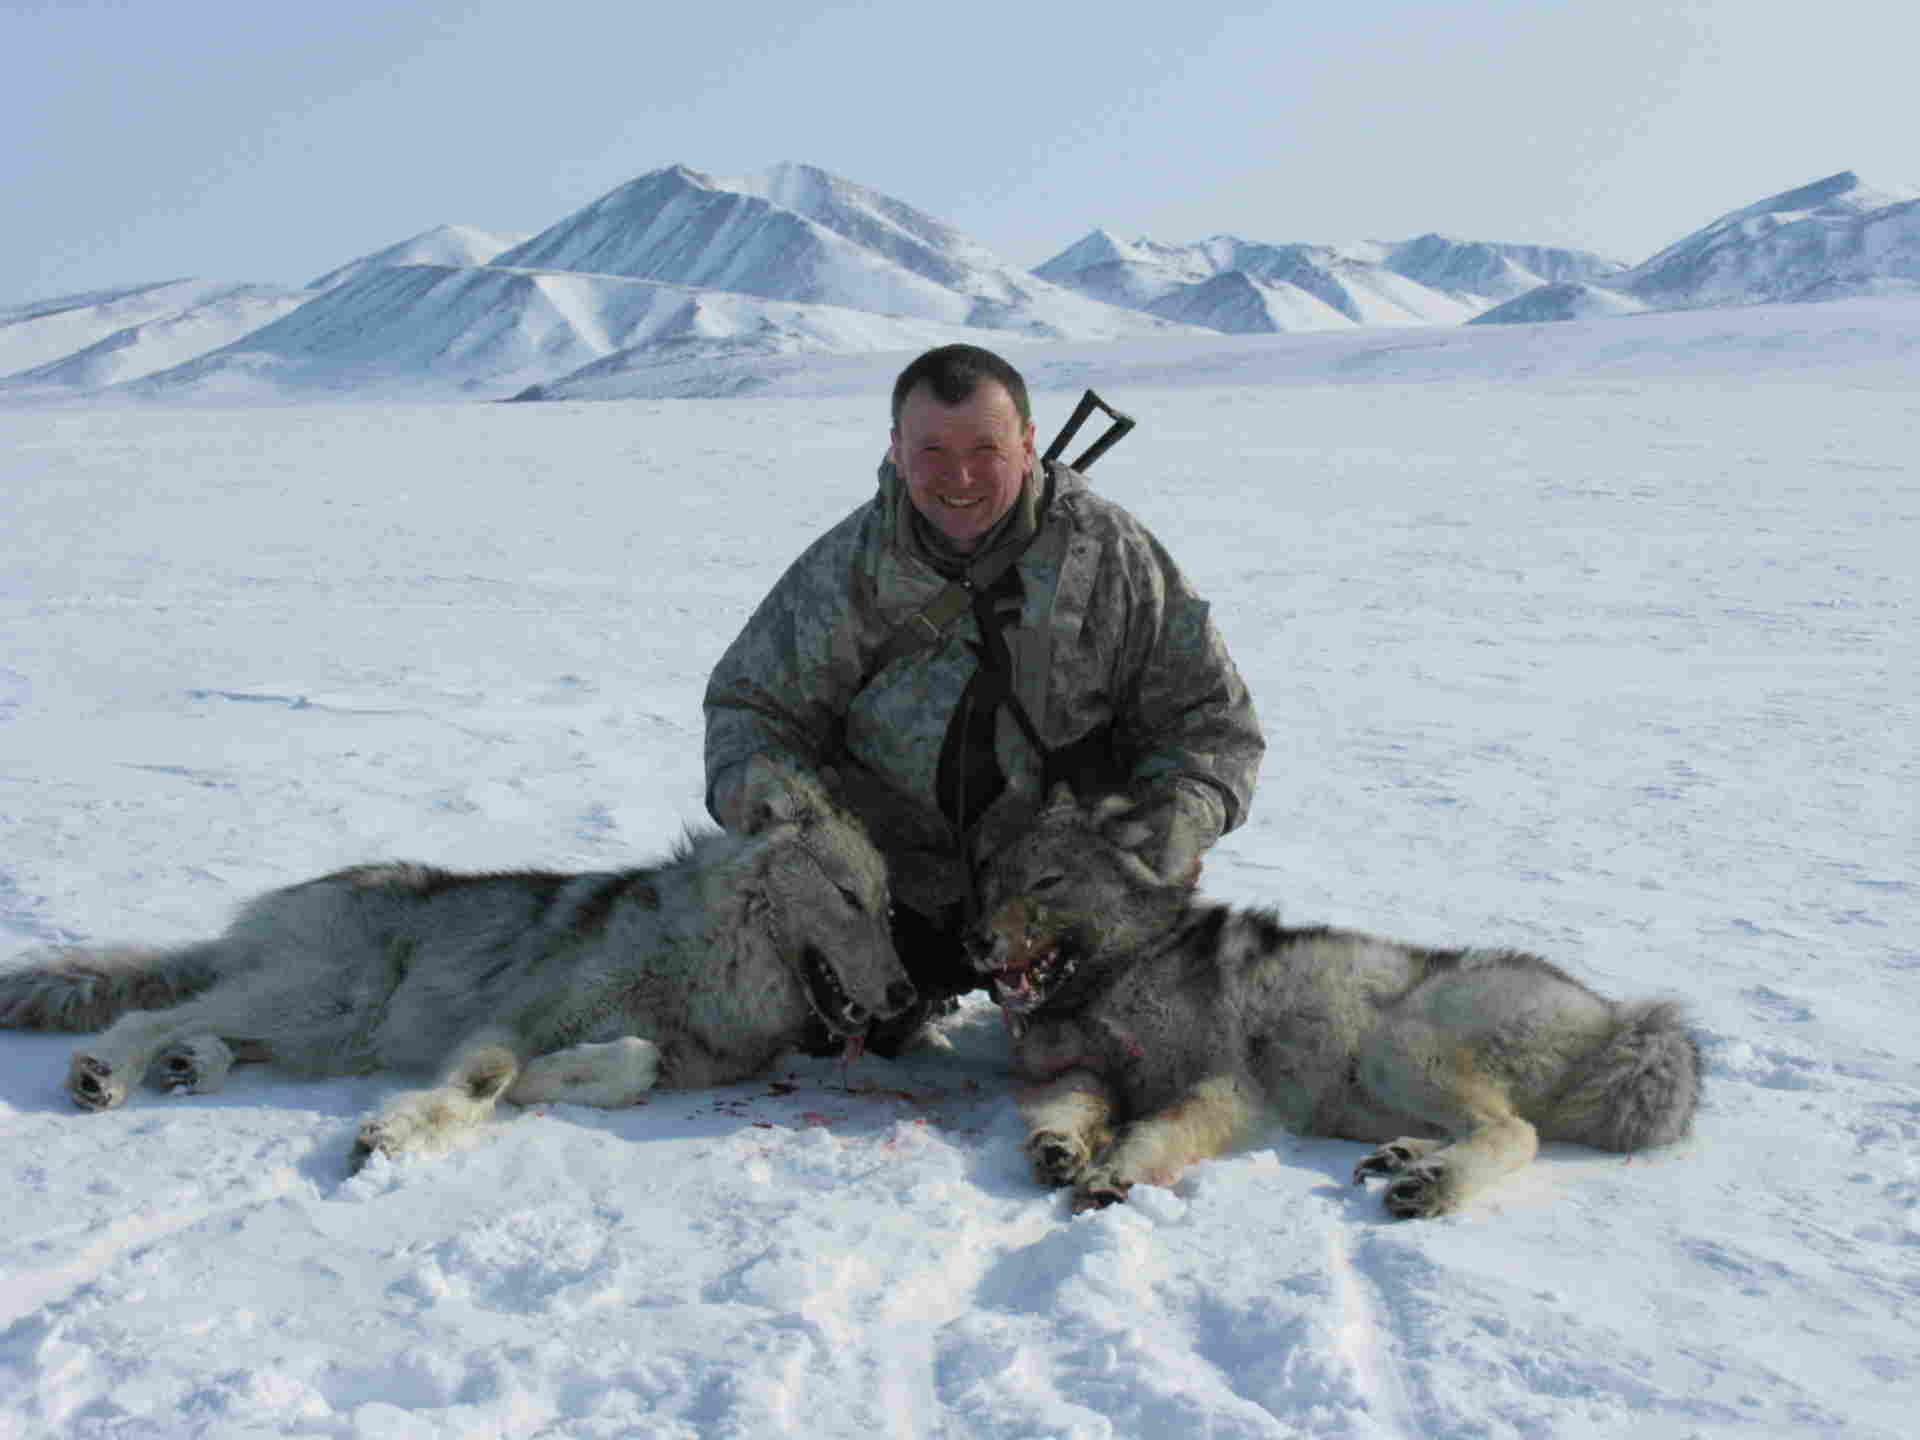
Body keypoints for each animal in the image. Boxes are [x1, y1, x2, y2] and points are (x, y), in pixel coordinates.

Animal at [0, 756, 913, 1175]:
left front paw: (551, 1082)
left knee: (200, 1027)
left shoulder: (665, 1054)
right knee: (151, 1013)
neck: (704, 966)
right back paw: (108, 1074)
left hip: (324, 1030)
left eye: (891, 908)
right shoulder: (514, 1016)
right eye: (849, 896)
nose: (906, 994)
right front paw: (398, 1131)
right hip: (328, 1000)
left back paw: (193, 1066)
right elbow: (484, 1080)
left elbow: (632, 1063)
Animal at [967, 791, 1704, 1221]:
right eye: (993, 881)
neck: (1114, 978)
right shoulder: (1082, 1071)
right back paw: (1404, 1158)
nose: (972, 939)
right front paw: (1059, 1145)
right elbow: (1071, 1106)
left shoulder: (1225, 1089)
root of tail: (1614, 1018)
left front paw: (1112, 1172)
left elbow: (1150, 1131)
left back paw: (1430, 1184)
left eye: (1048, 880)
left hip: (1400, 1048)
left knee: (1515, 1132)